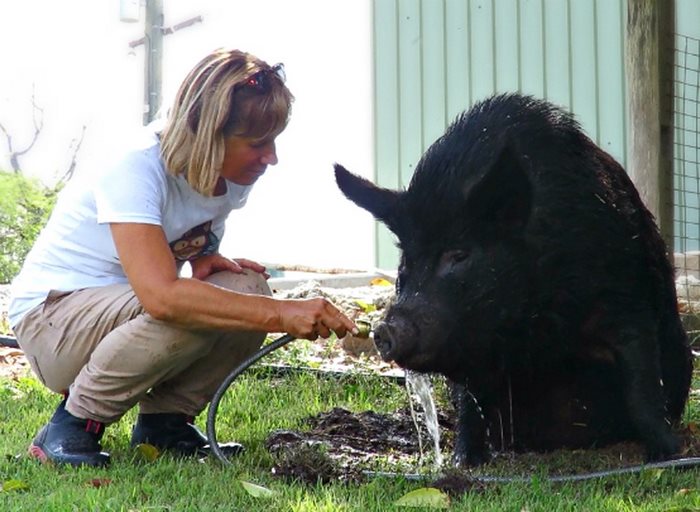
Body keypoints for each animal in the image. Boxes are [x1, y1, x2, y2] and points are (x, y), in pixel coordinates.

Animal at [334, 93, 694, 466]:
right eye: (407, 261)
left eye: (459, 254)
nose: (384, 329)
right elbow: (470, 408)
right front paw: (464, 462)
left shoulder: (625, 299)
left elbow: (642, 384)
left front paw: (666, 455)